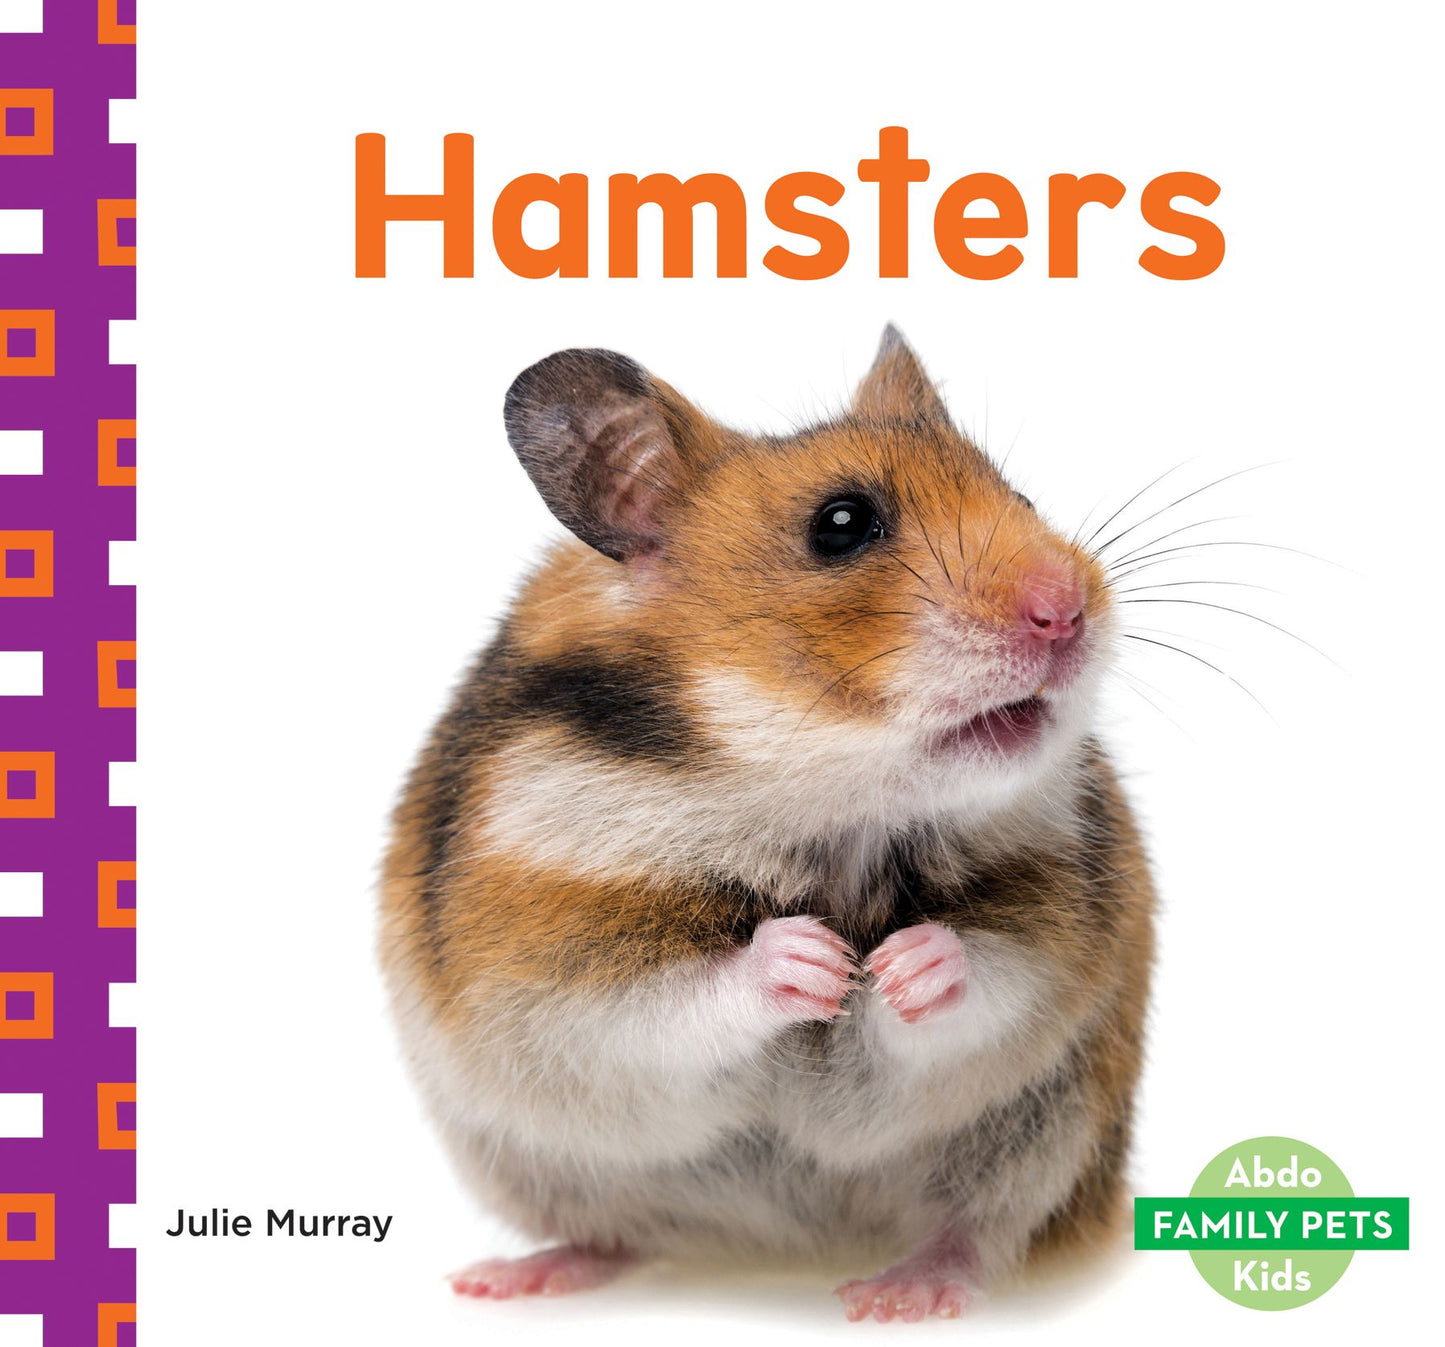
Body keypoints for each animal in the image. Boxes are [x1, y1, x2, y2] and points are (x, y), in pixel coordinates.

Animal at [379, 326, 1155, 1323]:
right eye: (842, 524)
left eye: (1018, 494)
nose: (1067, 611)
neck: (824, 802)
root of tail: (768, 1250)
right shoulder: (546, 964)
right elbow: (671, 1000)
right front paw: (811, 959)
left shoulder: (1058, 925)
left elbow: (987, 976)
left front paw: (899, 965)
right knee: (619, 1234)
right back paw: (504, 1280)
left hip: (1050, 1137)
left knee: (978, 1233)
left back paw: (896, 1294)